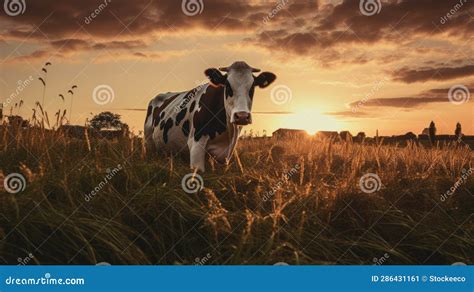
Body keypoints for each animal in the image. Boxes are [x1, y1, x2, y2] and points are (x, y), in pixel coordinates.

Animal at [146, 61, 276, 171]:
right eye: (227, 86)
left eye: (252, 87)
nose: (242, 116)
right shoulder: (195, 145)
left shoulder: (226, 154)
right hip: (148, 142)